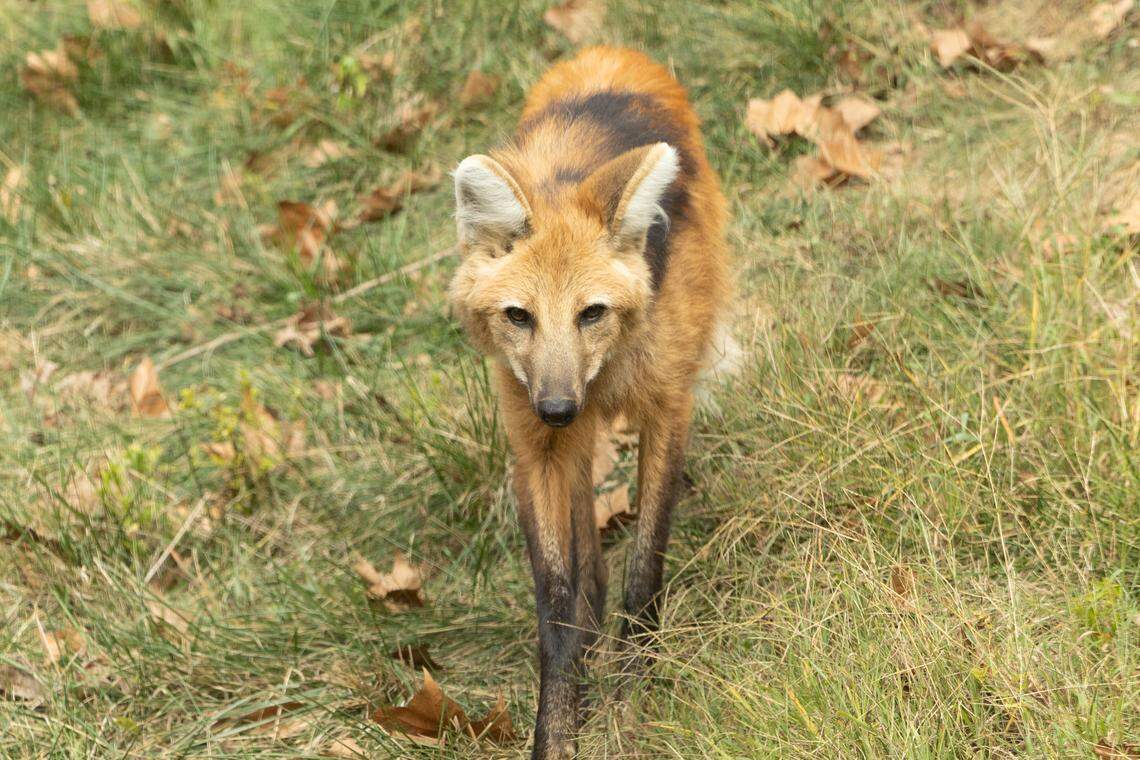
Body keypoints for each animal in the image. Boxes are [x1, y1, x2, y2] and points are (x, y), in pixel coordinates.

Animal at [448, 45, 730, 758]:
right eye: (519, 316)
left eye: (591, 312)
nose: (556, 408)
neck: (601, 378)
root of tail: (607, 53)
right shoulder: (536, 447)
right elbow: (557, 606)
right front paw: (559, 733)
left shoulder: (667, 407)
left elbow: (644, 572)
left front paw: (632, 704)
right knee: (585, 563)